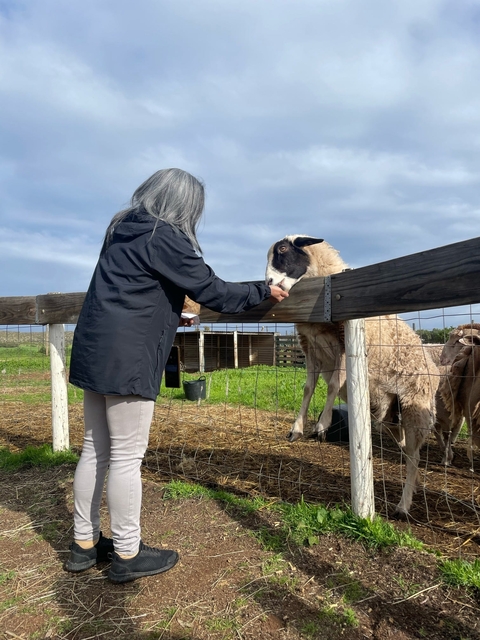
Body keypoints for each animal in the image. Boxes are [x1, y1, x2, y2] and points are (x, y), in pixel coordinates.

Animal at [265, 235, 440, 517]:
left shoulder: (345, 346)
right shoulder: (310, 349)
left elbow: (333, 385)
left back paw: (403, 505)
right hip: (392, 416)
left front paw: (322, 424)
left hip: (417, 407)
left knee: (415, 459)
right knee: (407, 450)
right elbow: (308, 388)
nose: (268, 283)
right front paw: (297, 428)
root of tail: (433, 368)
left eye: (282, 249)